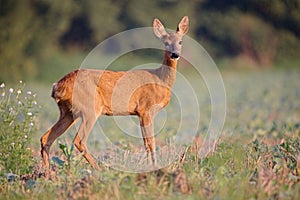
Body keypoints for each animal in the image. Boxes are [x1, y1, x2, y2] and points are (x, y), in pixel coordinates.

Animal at [40, 15, 189, 170]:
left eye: (180, 41)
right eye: (165, 42)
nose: (175, 54)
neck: (160, 79)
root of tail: (57, 86)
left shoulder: (141, 113)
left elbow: (147, 143)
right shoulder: (145, 109)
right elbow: (150, 143)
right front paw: (153, 167)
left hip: (67, 112)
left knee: (45, 138)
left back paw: (46, 172)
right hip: (90, 107)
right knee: (78, 140)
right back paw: (99, 169)